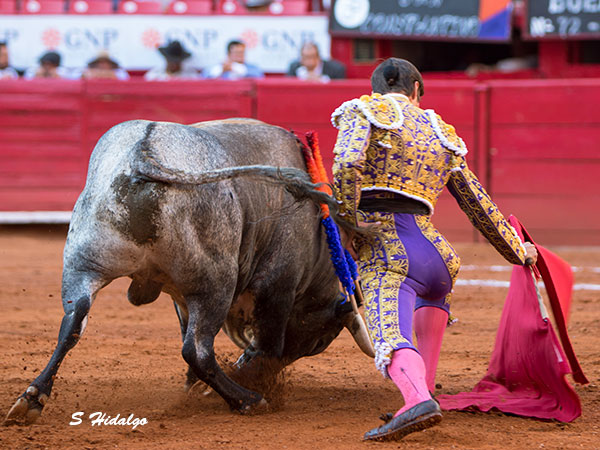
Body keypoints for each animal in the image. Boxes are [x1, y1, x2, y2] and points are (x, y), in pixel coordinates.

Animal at [5, 118, 373, 425]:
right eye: (319, 341)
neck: (321, 240)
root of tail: (145, 154)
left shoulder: (180, 295)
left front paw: (198, 386)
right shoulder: (277, 284)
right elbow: (268, 345)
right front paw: (251, 382)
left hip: (83, 264)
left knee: (73, 324)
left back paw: (32, 399)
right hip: (215, 285)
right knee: (198, 349)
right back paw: (248, 400)